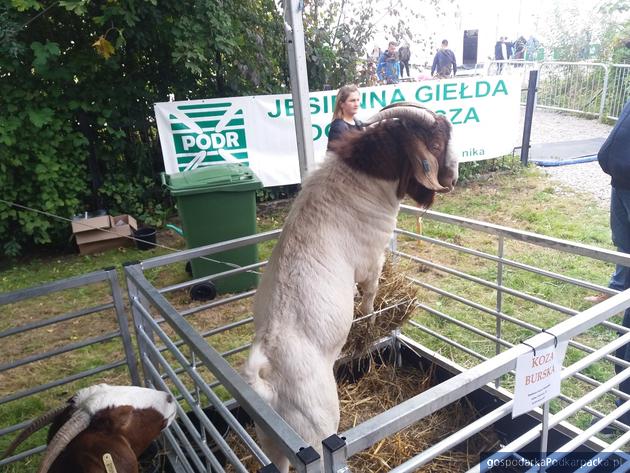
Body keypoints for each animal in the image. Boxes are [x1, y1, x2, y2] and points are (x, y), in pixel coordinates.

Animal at [244, 101, 462, 470]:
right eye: (434, 143)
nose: (454, 177)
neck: (357, 181)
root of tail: (267, 373)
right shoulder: (372, 259)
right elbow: (369, 296)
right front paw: (370, 321)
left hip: (271, 440)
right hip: (317, 431)